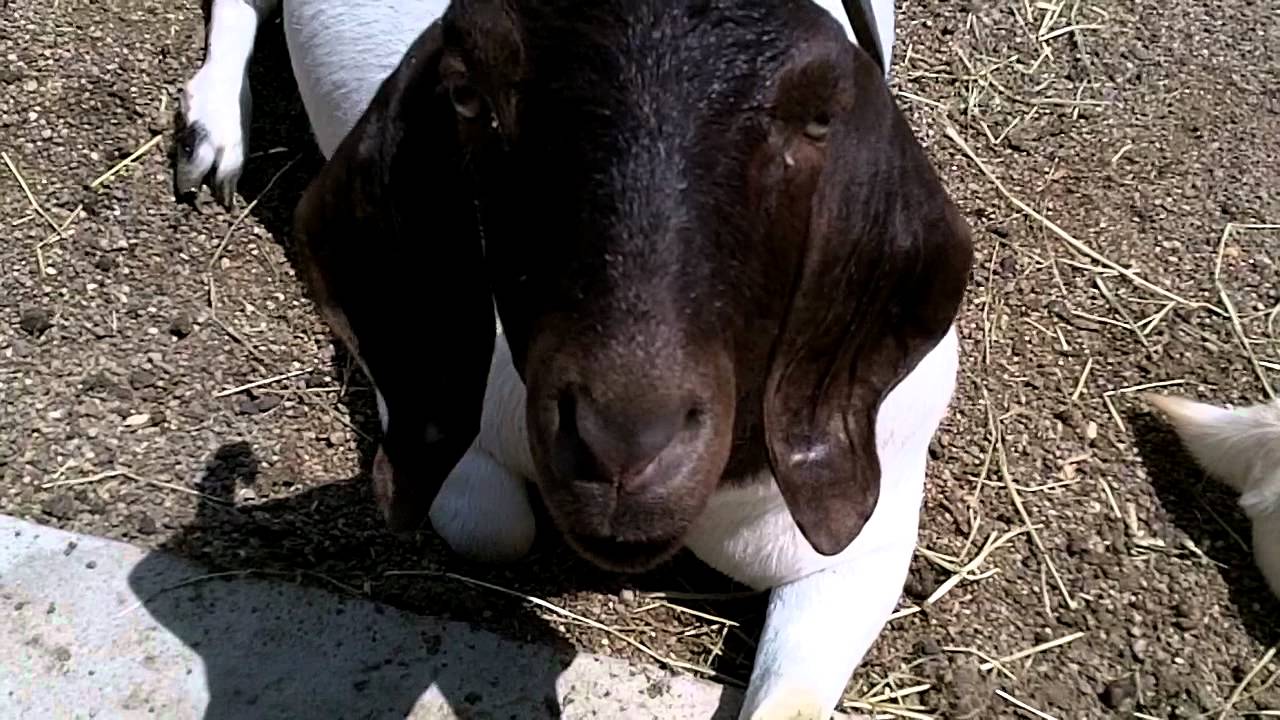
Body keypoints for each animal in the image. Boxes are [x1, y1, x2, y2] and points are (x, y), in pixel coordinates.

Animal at [175, 1, 972, 718]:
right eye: (469, 95)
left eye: (817, 119)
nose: (622, 444)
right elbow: (495, 527)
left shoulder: (862, 542)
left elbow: (796, 696)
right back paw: (210, 134)